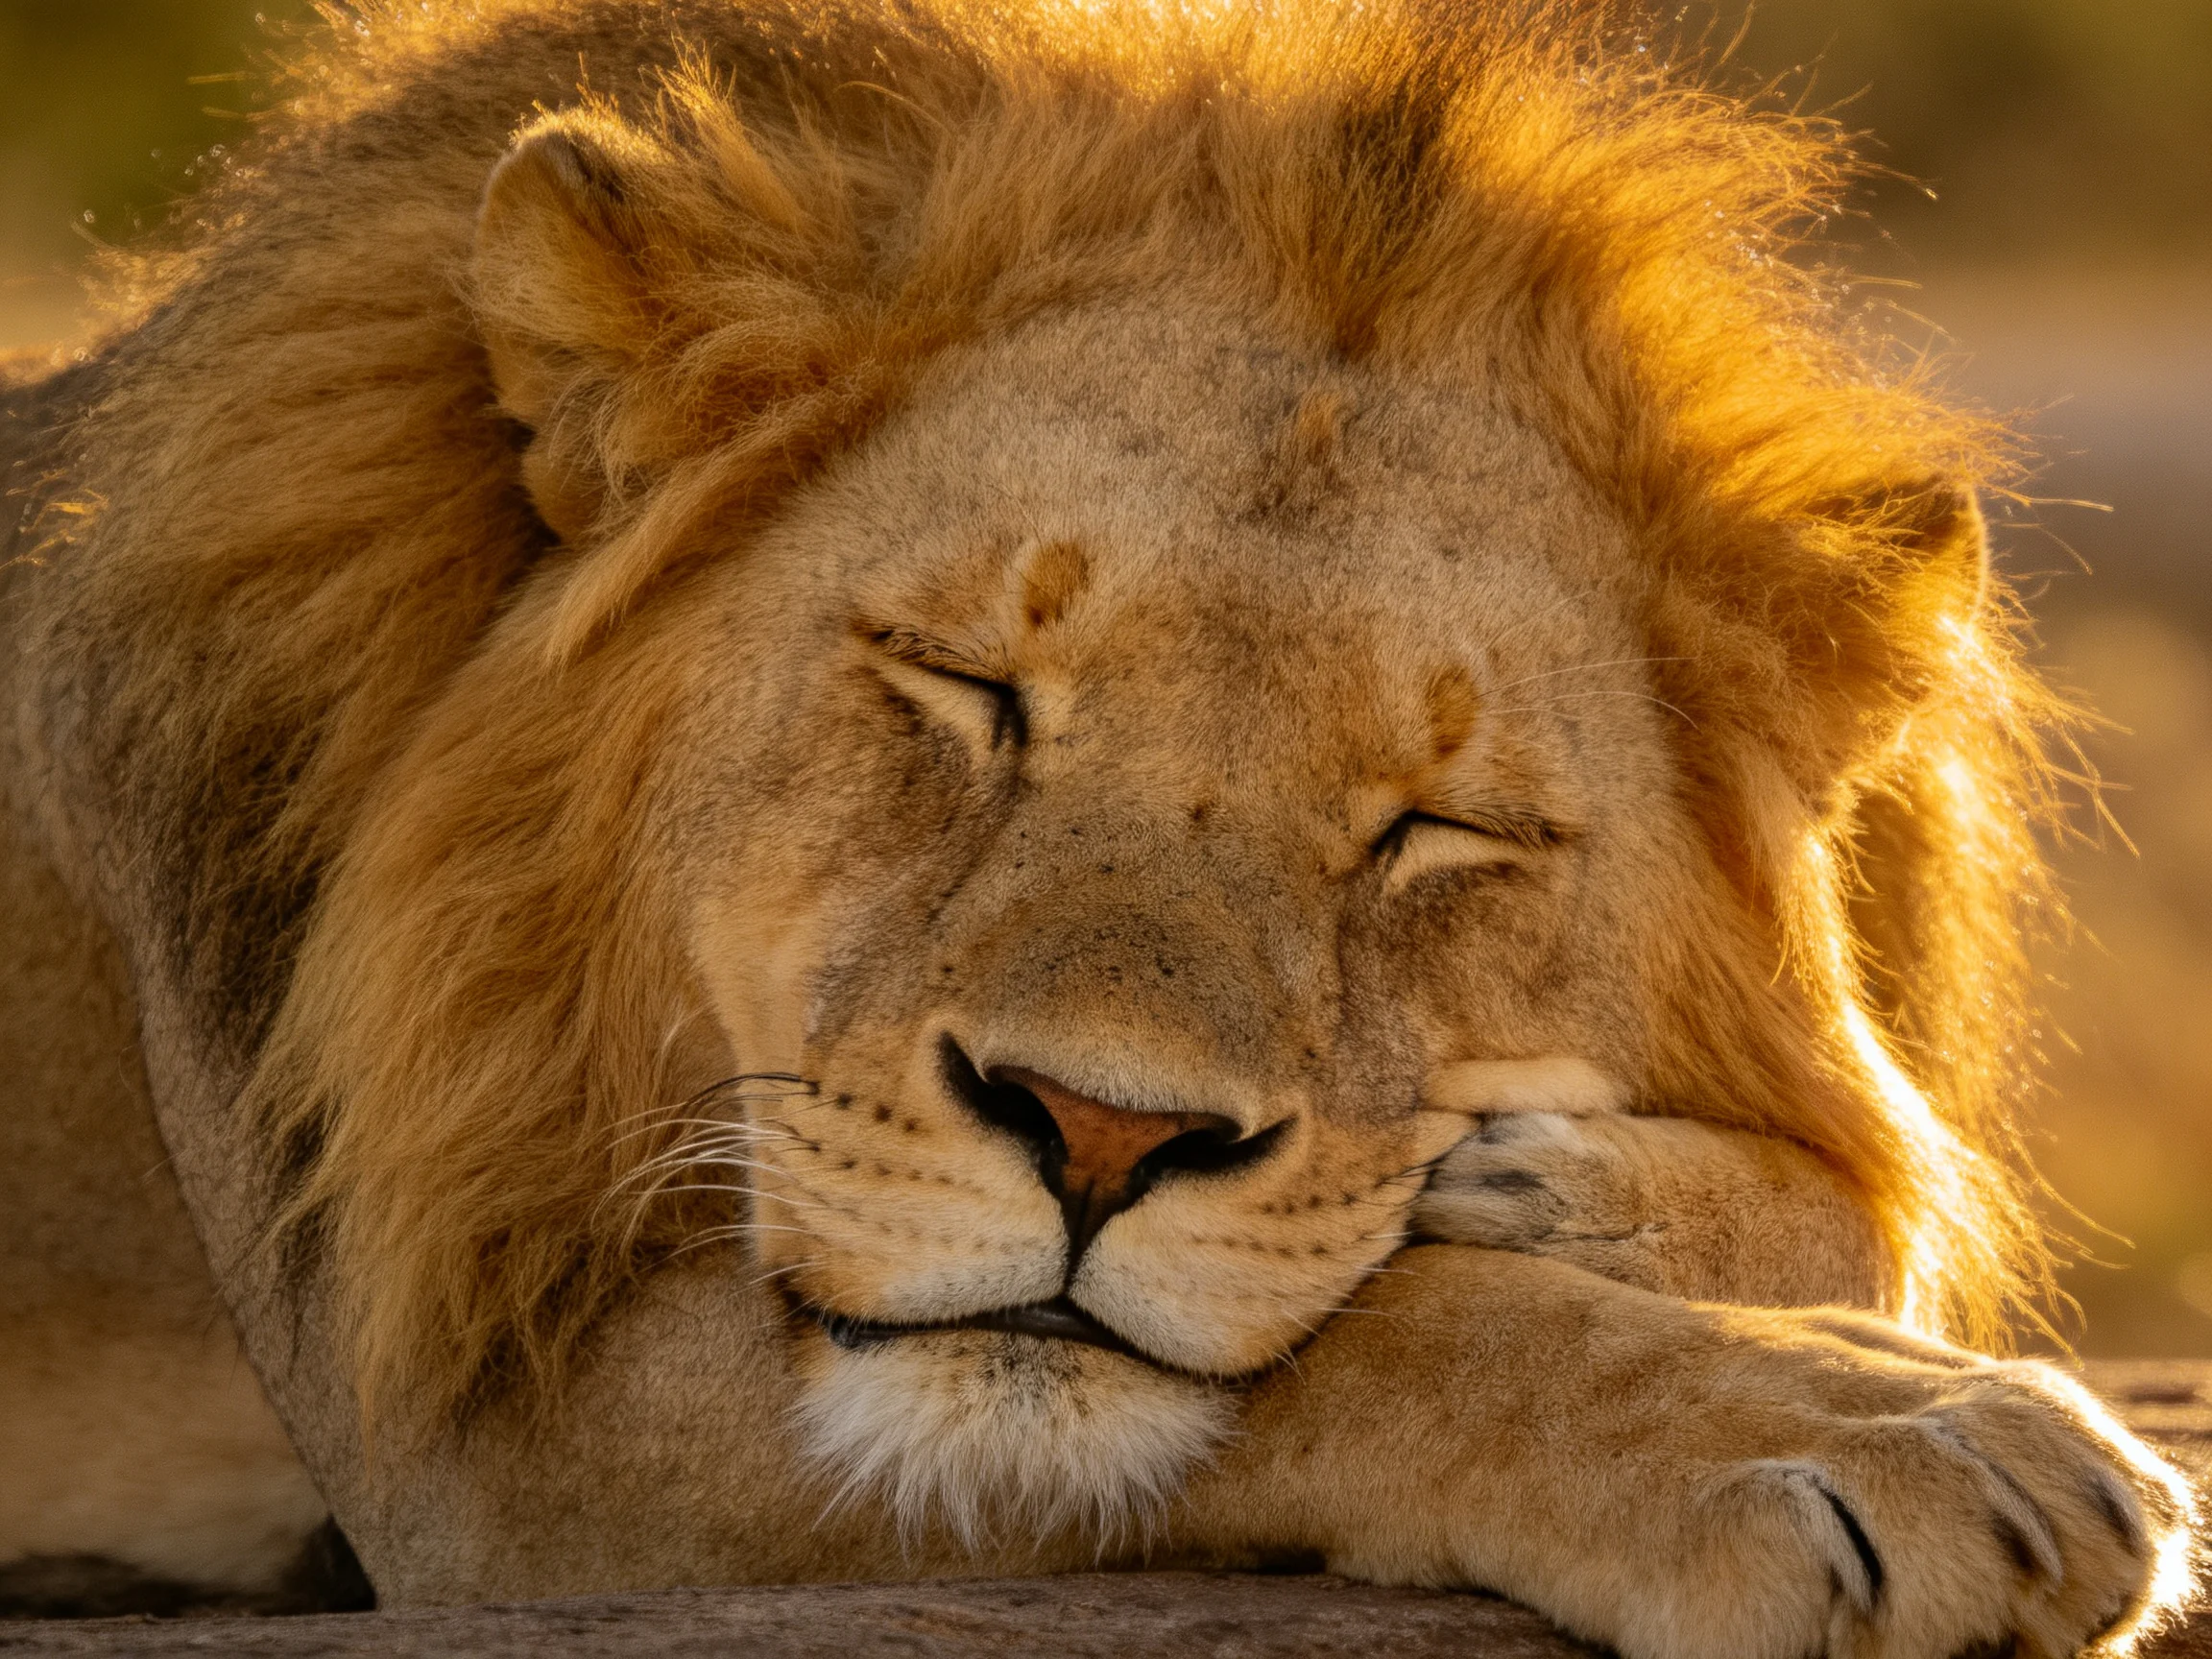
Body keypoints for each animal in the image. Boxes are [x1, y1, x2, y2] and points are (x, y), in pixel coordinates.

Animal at [0, 0, 2195, 1650]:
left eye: (1434, 829)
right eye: (965, 684)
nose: (1099, 1137)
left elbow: (1870, 1178)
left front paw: (1572, 1192)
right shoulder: (471, 1441)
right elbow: (1369, 1338)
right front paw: (1873, 1430)